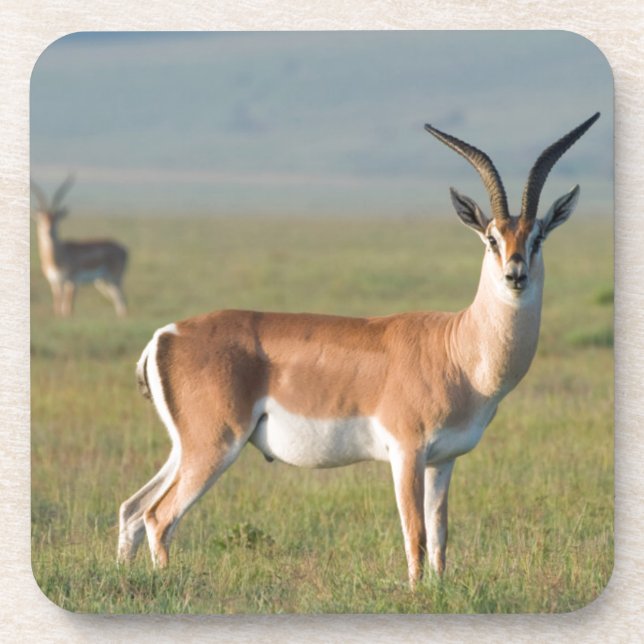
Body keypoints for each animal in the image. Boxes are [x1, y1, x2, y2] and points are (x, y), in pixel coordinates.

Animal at [31, 176, 128, 317]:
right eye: (41, 219)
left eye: (56, 219)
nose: (49, 231)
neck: (59, 257)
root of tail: (123, 248)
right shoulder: (55, 282)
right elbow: (58, 305)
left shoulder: (72, 282)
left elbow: (68, 309)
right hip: (103, 281)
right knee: (118, 299)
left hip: (114, 279)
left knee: (121, 299)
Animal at [118, 113, 600, 588]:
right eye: (491, 238)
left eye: (538, 237)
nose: (515, 275)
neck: (458, 351)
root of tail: (166, 335)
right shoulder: (406, 451)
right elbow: (415, 534)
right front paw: (416, 595)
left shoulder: (443, 461)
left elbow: (440, 536)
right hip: (215, 444)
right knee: (160, 516)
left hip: (185, 447)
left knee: (133, 509)